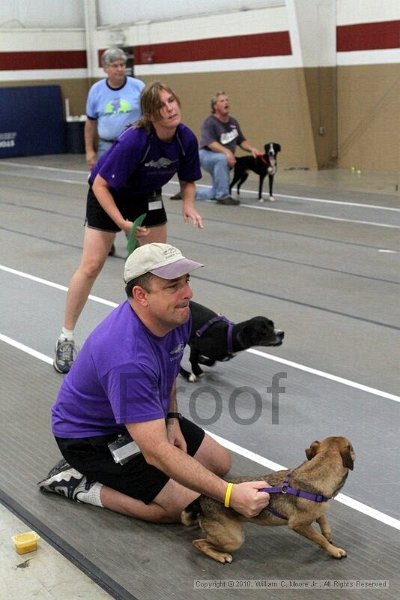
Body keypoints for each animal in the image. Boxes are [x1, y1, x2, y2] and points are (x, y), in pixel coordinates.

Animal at [183, 436, 354, 564]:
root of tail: (201, 499)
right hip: (233, 539)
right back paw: (220, 556)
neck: (316, 471)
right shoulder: (298, 525)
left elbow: (323, 521)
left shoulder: (318, 508)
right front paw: (334, 551)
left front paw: (328, 535)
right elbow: (319, 538)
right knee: (198, 543)